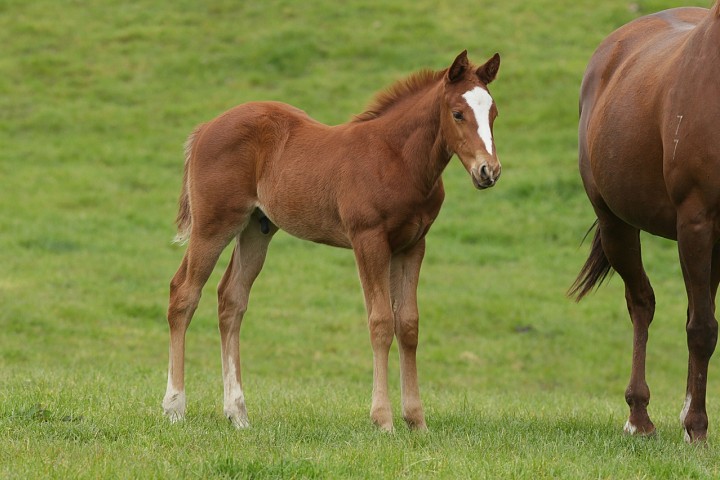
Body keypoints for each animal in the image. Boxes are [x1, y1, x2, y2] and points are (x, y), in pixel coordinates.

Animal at [162, 50, 500, 430]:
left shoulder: (413, 245)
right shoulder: (368, 240)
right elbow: (381, 321)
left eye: (493, 113)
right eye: (458, 113)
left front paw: (417, 422)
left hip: (255, 228)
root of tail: (205, 128)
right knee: (184, 293)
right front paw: (383, 421)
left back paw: (238, 414)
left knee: (231, 300)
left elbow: (408, 324)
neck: (397, 158)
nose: (489, 171)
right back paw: (174, 407)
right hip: (213, 224)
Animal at [572, 2, 716, 442]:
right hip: (616, 225)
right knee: (642, 303)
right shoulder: (696, 221)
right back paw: (639, 416)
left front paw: (693, 423)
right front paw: (698, 429)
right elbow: (702, 329)